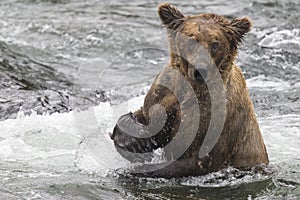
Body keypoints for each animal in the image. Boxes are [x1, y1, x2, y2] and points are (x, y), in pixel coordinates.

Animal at [110, 2, 270, 178]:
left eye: (215, 44)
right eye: (192, 40)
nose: (200, 70)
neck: (192, 87)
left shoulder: (215, 120)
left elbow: (197, 160)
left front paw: (137, 170)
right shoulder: (165, 93)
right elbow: (147, 115)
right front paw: (135, 142)